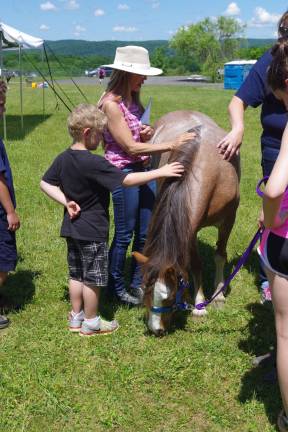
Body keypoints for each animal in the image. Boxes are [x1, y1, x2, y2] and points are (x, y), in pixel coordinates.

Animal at [134, 109, 240, 336]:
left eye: (169, 297)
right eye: (146, 289)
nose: (156, 330)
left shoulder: (228, 221)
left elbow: (220, 255)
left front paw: (217, 296)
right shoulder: (188, 229)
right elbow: (195, 264)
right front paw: (199, 302)